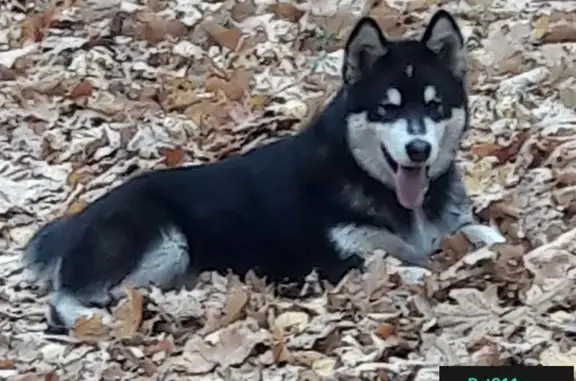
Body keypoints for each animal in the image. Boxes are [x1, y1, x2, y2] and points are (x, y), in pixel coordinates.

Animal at [22, 8, 504, 330]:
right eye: (387, 109)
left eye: (434, 106)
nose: (419, 149)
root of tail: (78, 219)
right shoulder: (346, 262)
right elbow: (415, 267)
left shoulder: (450, 226)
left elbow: (483, 234)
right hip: (166, 243)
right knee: (64, 300)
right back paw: (99, 321)